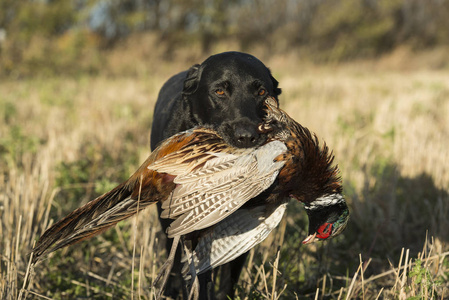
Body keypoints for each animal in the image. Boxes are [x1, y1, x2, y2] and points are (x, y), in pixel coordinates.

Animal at [152, 51, 282, 300]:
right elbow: (196, 276)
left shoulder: (241, 224)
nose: (247, 136)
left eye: (262, 92)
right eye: (219, 91)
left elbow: (227, 279)